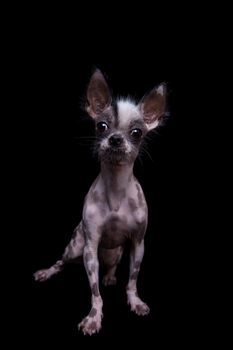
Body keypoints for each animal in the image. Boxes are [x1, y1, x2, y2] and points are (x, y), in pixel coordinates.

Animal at [34, 69, 166, 334]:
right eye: (101, 126)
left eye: (137, 132)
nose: (115, 139)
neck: (116, 187)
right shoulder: (90, 248)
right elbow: (95, 292)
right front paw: (93, 318)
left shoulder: (138, 244)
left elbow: (132, 280)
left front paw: (135, 302)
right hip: (75, 247)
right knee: (61, 262)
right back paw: (47, 272)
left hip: (115, 253)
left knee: (111, 265)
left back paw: (109, 276)